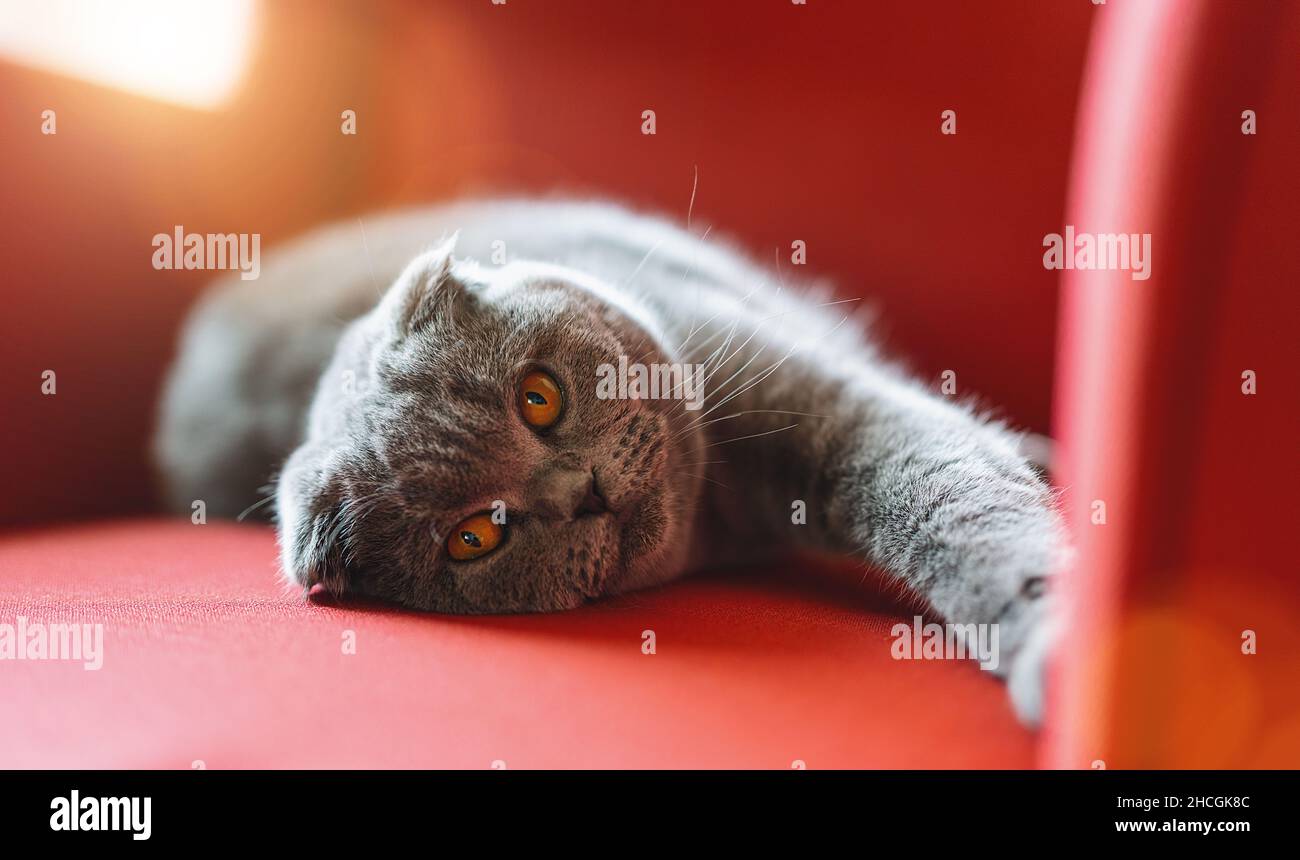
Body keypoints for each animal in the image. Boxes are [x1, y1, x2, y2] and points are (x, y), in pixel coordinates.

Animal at [154, 198, 1066, 722]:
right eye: (474, 537)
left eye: (538, 396)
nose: (579, 492)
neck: (727, 514)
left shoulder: (821, 399)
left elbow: (951, 499)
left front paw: (1052, 640)